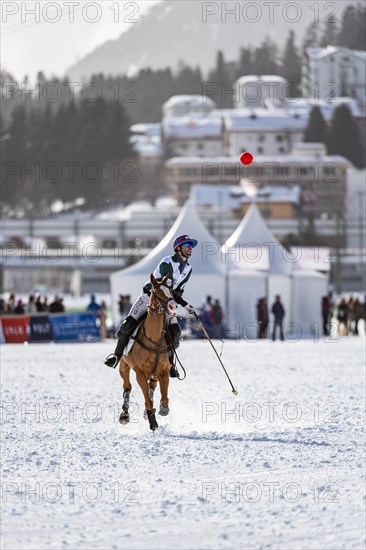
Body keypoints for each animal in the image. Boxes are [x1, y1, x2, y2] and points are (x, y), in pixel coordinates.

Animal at [118, 274, 177, 434]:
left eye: (171, 290)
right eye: (157, 292)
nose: (173, 306)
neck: (153, 339)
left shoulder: (163, 371)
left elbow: (164, 395)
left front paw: (163, 409)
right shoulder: (140, 373)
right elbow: (147, 400)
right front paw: (153, 422)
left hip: (154, 372)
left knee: (153, 385)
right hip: (123, 365)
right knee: (127, 386)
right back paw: (124, 414)